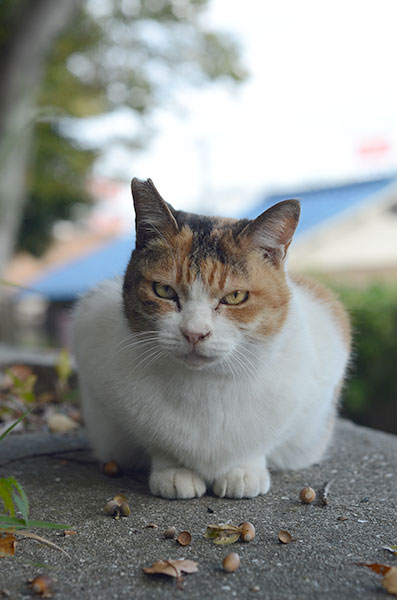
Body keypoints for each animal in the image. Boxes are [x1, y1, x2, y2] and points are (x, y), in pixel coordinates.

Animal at [72, 179, 350, 502]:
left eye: (235, 296)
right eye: (164, 290)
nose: (194, 332)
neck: (206, 385)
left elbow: (260, 444)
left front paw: (243, 472)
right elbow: (160, 446)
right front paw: (174, 471)